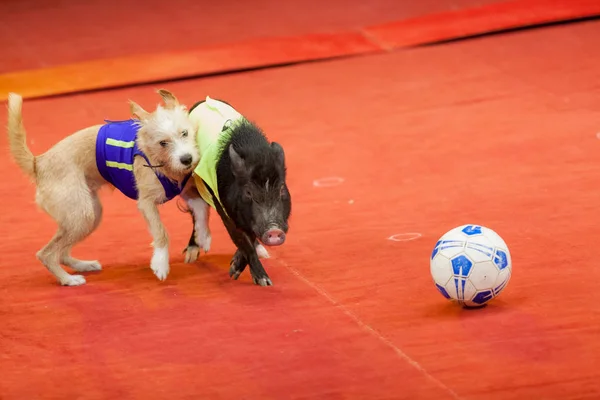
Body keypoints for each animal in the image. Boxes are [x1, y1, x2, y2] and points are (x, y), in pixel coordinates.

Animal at [4, 89, 210, 286]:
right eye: (163, 143)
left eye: (185, 133)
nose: (187, 159)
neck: (159, 161)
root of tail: (38, 162)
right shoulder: (146, 204)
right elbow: (161, 232)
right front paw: (160, 264)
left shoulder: (187, 192)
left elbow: (201, 209)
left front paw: (203, 237)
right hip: (82, 216)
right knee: (46, 254)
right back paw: (68, 279)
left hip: (89, 216)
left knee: (60, 252)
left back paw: (83, 266)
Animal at [185, 96, 292, 284]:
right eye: (248, 192)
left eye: (280, 189)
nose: (274, 230)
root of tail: (204, 101)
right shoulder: (223, 205)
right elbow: (241, 238)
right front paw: (263, 281)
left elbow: (251, 235)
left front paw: (235, 267)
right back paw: (191, 256)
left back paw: (263, 253)